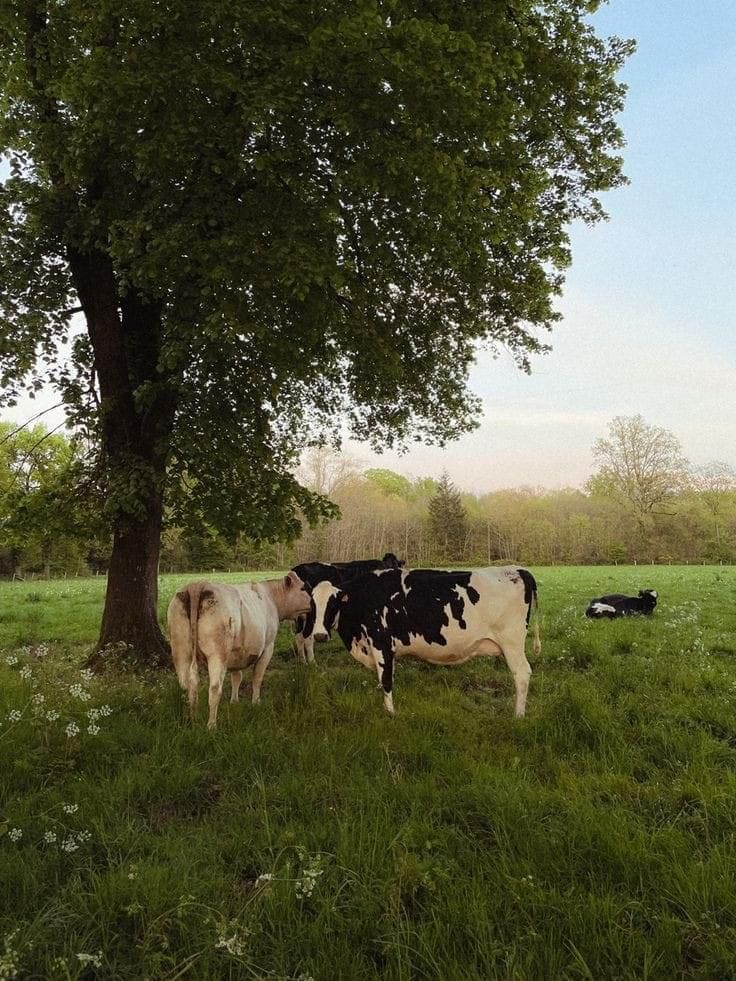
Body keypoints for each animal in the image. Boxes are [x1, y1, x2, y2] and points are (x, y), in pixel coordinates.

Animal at [169, 576, 310, 728]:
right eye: (302, 588)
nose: (312, 603)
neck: (271, 596)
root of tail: (197, 585)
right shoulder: (268, 647)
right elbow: (257, 677)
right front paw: (256, 702)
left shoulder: (235, 654)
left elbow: (237, 677)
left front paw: (234, 701)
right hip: (217, 654)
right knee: (214, 688)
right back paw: (211, 725)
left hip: (180, 652)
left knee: (187, 686)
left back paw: (192, 719)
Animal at [310, 564, 540, 716]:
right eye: (312, 605)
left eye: (333, 604)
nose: (319, 635)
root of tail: (518, 569)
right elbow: (385, 678)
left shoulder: (382, 643)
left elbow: (386, 680)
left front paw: (390, 713)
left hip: (512, 643)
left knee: (522, 674)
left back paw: (518, 715)